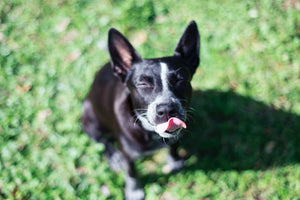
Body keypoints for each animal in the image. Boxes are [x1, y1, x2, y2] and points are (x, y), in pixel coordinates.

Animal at [81, 20, 200, 200]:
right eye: (143, 83)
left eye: (180, 80)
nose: (166, 109)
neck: (150, 133)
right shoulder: (128, 155)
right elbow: (131, 173)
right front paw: (134, 191)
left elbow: (173, 147)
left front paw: (174, 162)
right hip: (90, 118)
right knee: (100, 139)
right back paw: (113, 157)